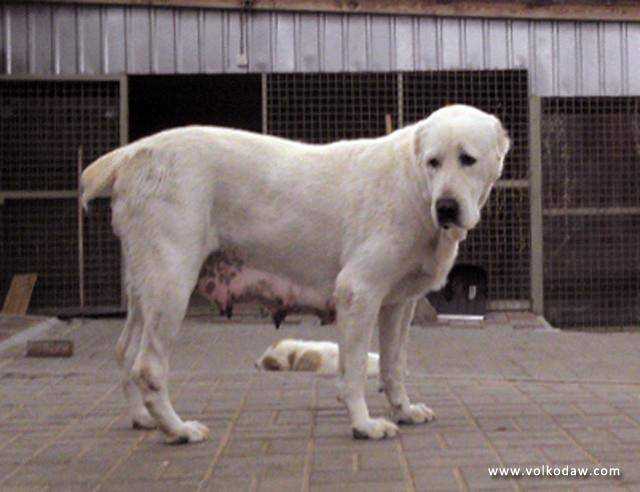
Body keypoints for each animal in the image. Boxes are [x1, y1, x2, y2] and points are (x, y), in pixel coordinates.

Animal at [80, 104, 510, 442]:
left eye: (467, 159)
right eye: (433, 162)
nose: (447, 207)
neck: (417, 186)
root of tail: (134, 153)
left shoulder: (398, 304)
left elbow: (392, 365)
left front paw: (403, 410)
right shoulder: (358, 291)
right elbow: (354, 369)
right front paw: (364, 424)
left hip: (146, 286)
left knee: (125, 351)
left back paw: (143, 418)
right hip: (171, 281)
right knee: (148, 366)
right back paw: (178, 429)